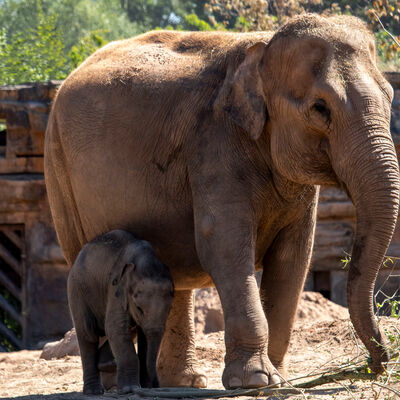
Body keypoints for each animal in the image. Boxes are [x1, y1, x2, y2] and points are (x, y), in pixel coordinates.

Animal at [67, 228, 173, 394]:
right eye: (139, 308)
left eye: (169, 309)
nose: (156, 385)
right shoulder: (116, 290)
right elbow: (115, 328)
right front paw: (130, 389)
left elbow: (143, 338)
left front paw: (144, 387)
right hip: (76, 290)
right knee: (88, 334)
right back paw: (94, 391)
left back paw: (105, 364)